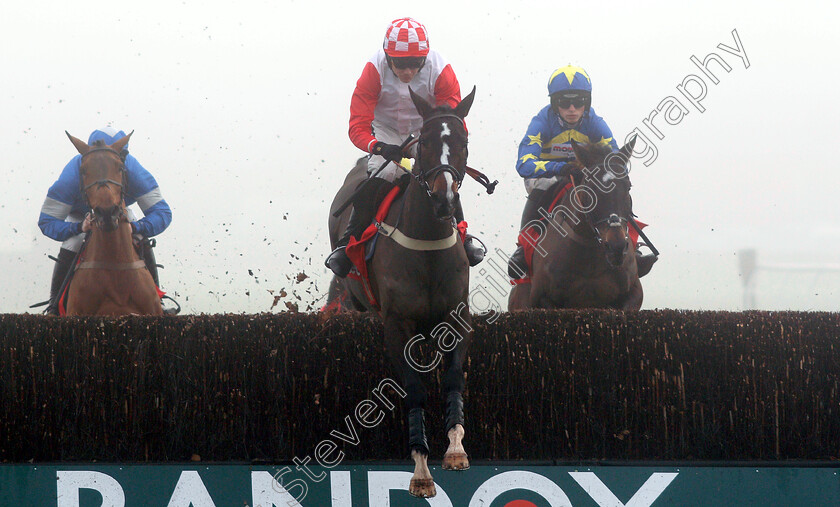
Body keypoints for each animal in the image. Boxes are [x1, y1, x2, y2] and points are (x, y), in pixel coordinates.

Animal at [324, 86, 476, 496]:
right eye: (423, 142)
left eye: (463, 142)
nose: (444, 200)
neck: (427, 247)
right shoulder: (396, 325)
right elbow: (413, 389)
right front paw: (421, 470)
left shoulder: (456, 318)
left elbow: (453, 378)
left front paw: (455, 449)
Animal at [508, 140, 648, 314]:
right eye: (591, 188)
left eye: (628, 187)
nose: (617, 247)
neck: (590, 261)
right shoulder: (540, 298)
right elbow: (526, 161)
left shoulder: (634, 292)